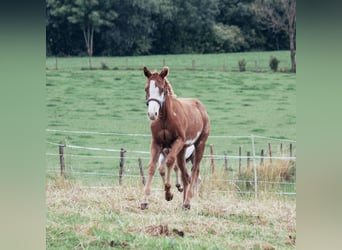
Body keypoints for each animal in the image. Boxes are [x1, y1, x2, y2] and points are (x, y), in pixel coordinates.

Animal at [140, 66, 210, 209]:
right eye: (146, 88)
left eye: (162, 89)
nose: (152, 114)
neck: (165, 118)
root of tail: (200, 107)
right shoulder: (156, 143)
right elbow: (152, 167)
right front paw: (144, 201)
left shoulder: (177, 141)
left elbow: (169, 162)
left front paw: (168, 194)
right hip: (183, 150)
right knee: (185, 175)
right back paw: (184, 202)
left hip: (199, 144)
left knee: (194, 171)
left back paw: (187, 201)